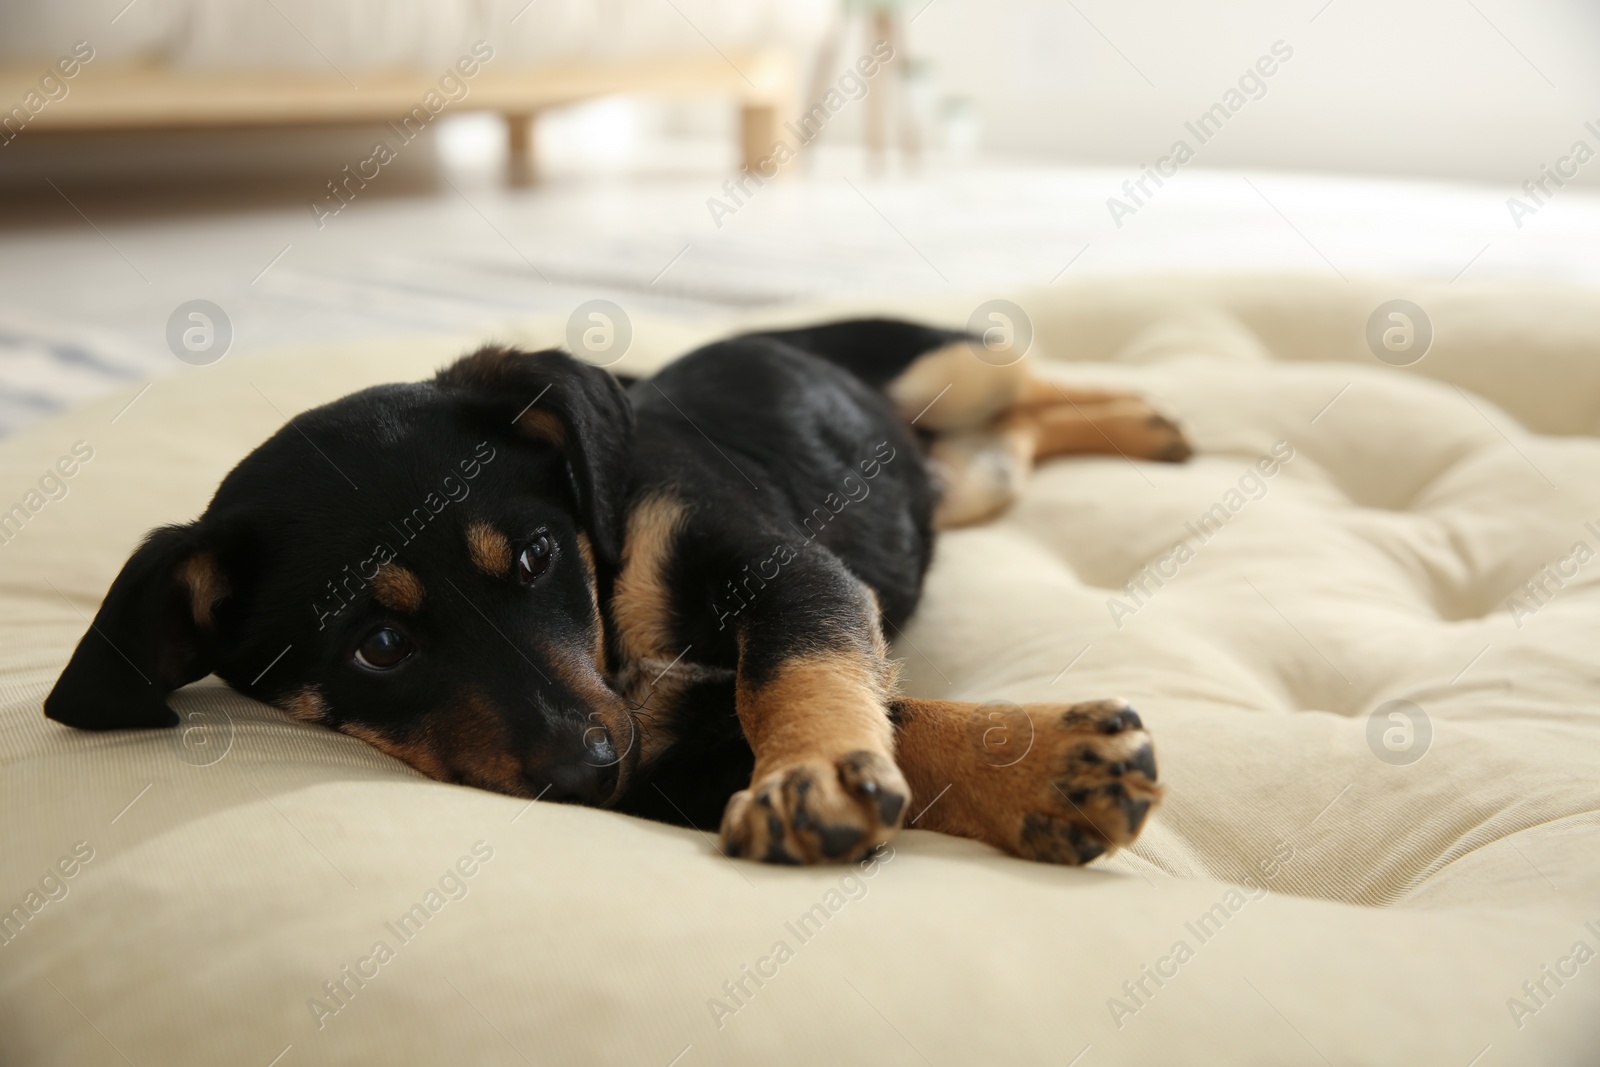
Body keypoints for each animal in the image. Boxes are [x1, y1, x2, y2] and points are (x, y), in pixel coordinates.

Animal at [46, 319, 1190, 870]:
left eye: (536, 556)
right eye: (377, 646)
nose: (590, 766)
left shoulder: (792, 574)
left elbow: (793, 672)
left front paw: (816, 775)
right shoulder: (668, 761)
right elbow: (880, 717)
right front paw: (1045, 772)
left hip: (939, 369)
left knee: (1032, 379)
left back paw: (1163, 412)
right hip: (970, 478)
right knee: (1022, 436)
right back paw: (1147, 424)